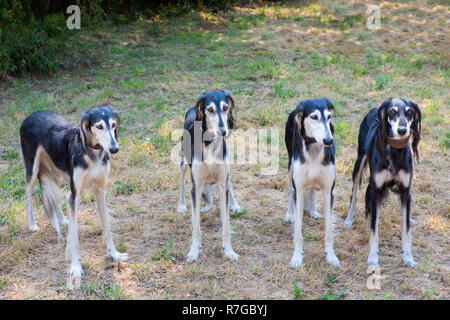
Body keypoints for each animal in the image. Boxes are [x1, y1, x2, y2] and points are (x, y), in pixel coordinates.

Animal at [19, 106, 128, 286]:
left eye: (113, 125)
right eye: (99, 126)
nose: (114, 149)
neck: (92, 154)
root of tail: (32, 114)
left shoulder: (101, 191)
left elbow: (107, 228)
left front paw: (114, 254)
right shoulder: (75, 195)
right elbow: (74, 239)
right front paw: (76, 268)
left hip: (55, 170)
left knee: (54, 198)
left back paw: (63, 219)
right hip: (32, 168)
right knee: (28, 198)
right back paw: (32, 224)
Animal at [178, 89, 243, 262]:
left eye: (226, 107)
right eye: (210, 109)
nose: (223, 132)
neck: (210, 145)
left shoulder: (222, 182)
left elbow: (226, 224)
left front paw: (228, 250)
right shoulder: (196, 187)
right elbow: (196, 227)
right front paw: (194, 251)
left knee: (229, 184)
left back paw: (235, 204)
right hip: (183, 161)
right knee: (181, 180)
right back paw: (181, 205)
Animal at [284, 97, 338, 268]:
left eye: (329, 117)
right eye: (314, 117)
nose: (328, 141)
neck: (314, 148)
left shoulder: (329, 191)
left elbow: (329, 231)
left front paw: (331, 256)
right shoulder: (299, 189)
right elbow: (298, 231)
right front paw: (297, 257)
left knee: (313, 189)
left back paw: (313, 210)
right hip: (290, 168)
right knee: (290, 190)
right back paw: (289, 214)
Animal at [344, 97, 422, 268]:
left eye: (410, 112)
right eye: (392, 111)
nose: (402, 130)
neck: (394, 151)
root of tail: (374, 108)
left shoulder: (406, 190)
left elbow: (406, 229)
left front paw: (408, 257)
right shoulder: (376, 188)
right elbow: (374, 230)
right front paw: (373, 258)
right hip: (359, 162)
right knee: (354, 195)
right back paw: (349, 219)